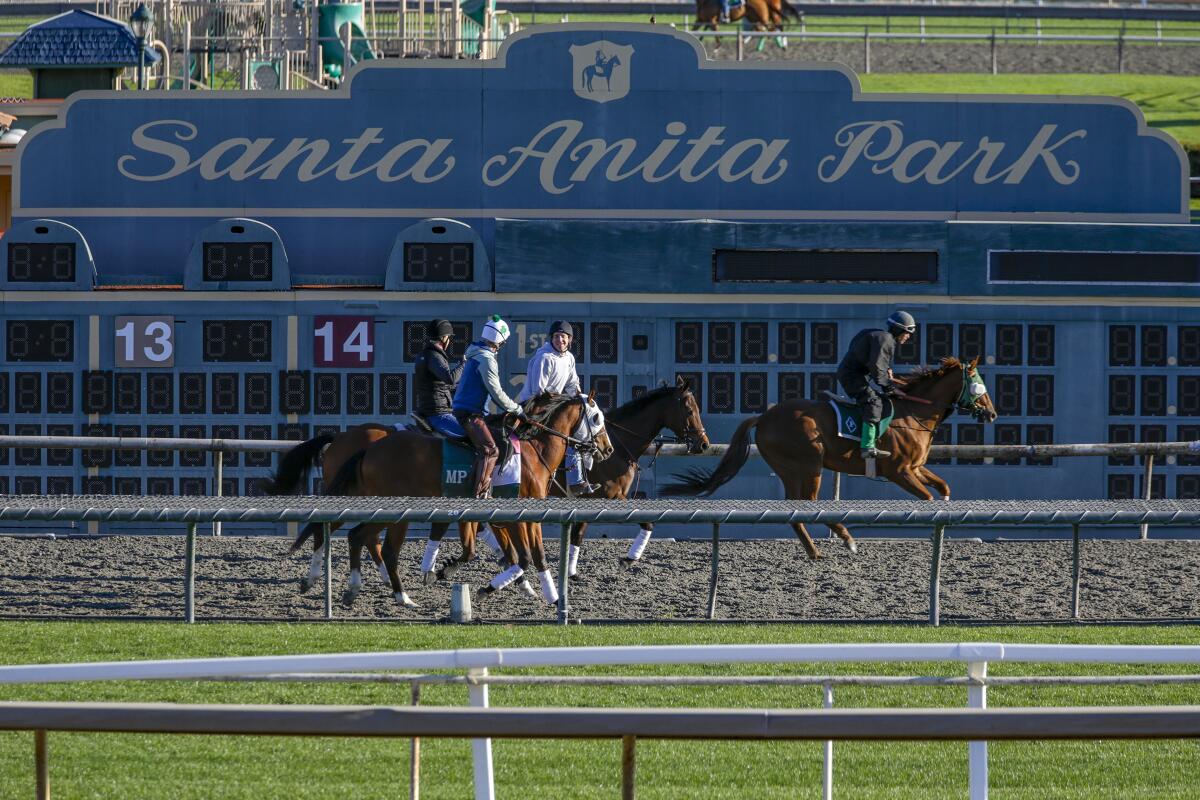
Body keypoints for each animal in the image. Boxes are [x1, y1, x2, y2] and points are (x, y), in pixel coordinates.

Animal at [326, 393, 609, 606]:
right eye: (596, 417)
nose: (607, 449)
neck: (532, 452)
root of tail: (369, 449)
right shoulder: (513, 519)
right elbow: (522, 557)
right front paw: (484, 586)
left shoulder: (527, 518)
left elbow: (532, 556)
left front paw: (550, 596)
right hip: (393, 511)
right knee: (382, 547)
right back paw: (401, 596)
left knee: (359, 536)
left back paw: (355, 589)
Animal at [549, 379, 705, 578]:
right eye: (690, 410)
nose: (704, 443)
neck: (617, 448)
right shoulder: (611, 495)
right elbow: (647, 523)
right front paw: (629, 559)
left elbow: (578, 535)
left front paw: (571, 572)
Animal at [662, 359, 998, 561]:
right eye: (978, 382)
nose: (992, 412)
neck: (913, 413)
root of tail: (764, 417)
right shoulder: (900, 471)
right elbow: (928, 499)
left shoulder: (916, 467)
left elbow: (944, 489)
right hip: (809, 464)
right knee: (809, 504)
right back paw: (845, 538)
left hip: (791, 469)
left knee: (794, 508)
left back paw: (814, 550)